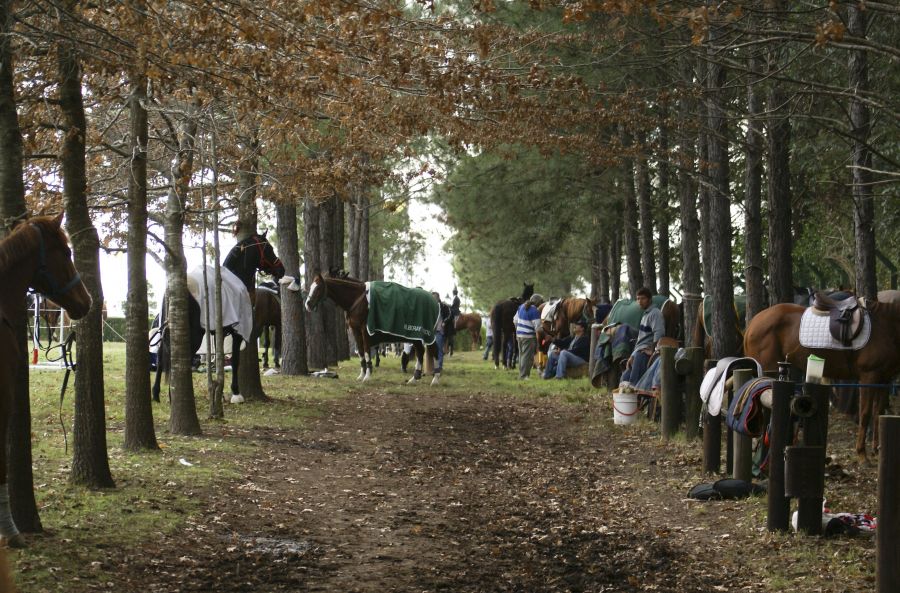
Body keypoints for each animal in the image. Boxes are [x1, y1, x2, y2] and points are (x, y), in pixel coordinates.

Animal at [304, 272, 442, 384]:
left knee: (434, 351)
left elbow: (366, 351)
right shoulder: (355, 331)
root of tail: (434, 302)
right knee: (420, 352)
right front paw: (361, 375)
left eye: (318, 288)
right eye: (311, 287)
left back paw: (435, 378)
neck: (357, 299)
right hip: (415, 335)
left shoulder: (365, 330)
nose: (308, 304)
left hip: (425, 334)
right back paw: (414, 378)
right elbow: (360, 352)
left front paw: (367, 376)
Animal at [740, 292, 900, 462]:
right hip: (770, 370)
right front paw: (862, 454)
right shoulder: (869, 377)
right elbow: (865, 413)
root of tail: (753, 323)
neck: (885, 325)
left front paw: (877, 449)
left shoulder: (884, 380)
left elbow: (878, 412)